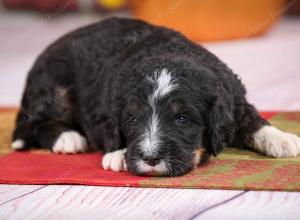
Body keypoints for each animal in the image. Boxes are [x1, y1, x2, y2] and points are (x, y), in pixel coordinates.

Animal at [12, 17, 300, 176]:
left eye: (182, 119)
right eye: (132, 121)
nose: (150, 159)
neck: (168, 54)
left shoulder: (235, 98)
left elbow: (252, 119)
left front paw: (283, 139)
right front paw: (118, 154)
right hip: (55, 89)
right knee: (35, 124)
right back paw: (69, 138)